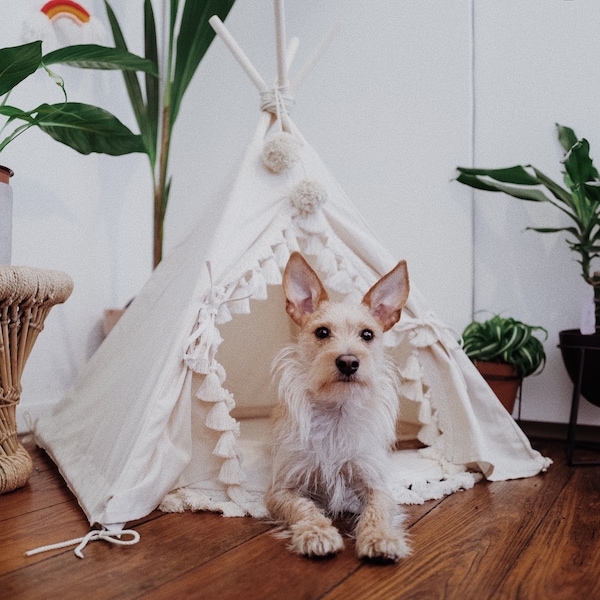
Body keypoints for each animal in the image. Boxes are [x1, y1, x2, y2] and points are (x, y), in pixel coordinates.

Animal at [264, 251, 410, 560]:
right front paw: (317, 533)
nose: (348, 362)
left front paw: (379, 536)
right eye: (322, 332)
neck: (337, 413)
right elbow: (304, 508)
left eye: (367, 335)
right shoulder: (281, 490)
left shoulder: (376, 485)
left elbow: (377, 510)